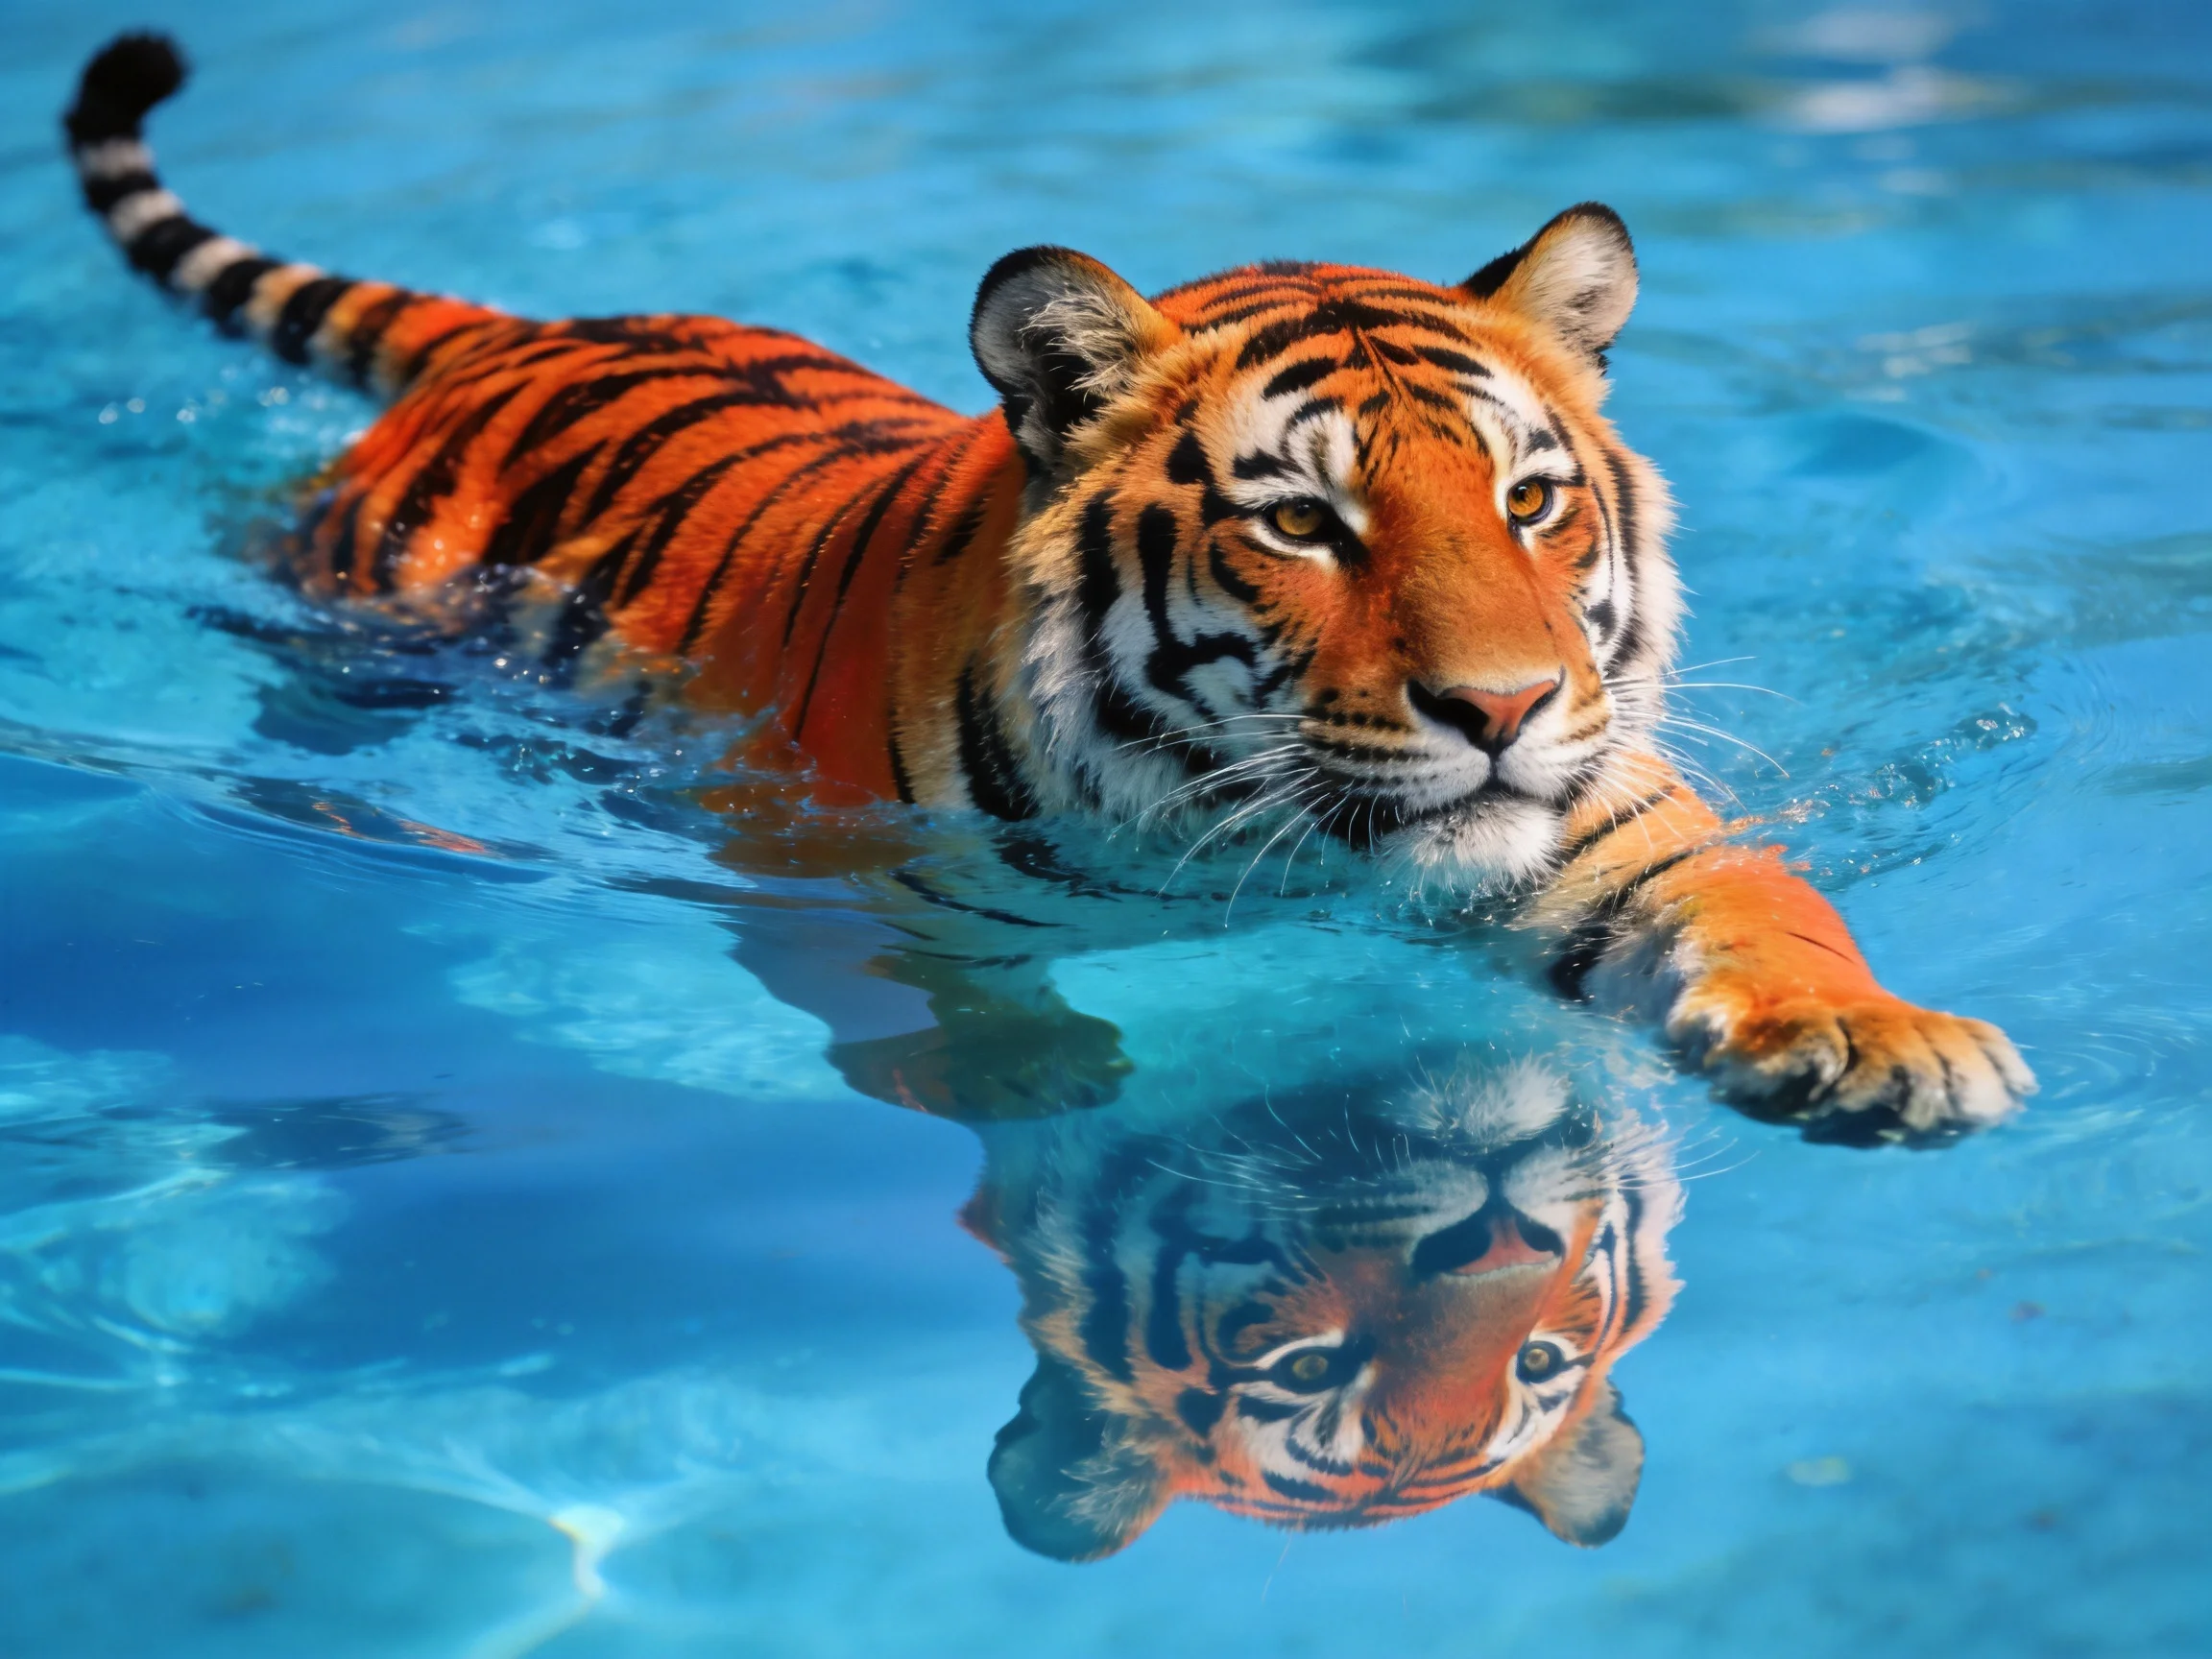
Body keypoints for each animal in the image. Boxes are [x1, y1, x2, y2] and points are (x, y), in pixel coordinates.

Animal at [65, 32, 2032, 1142]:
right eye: (1303, 525)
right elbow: (970, 1024)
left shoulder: (1630, 828)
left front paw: (1881, 1044)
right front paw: (1064, 1102)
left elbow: (1770, 915)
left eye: (1529, 501)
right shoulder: (867, 887)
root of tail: (524, 324)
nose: (1499, 708)